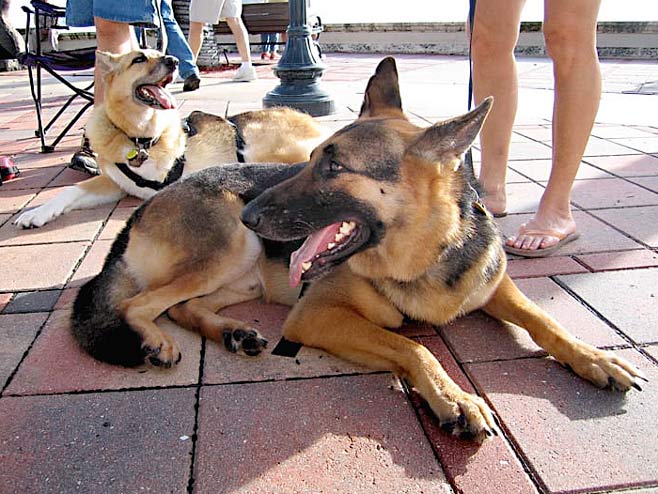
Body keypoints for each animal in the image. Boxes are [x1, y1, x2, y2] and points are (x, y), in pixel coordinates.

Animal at [12, 49, 326, 228]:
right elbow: (70, 191)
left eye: (161, 52)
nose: (173, 60)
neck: (138, 139)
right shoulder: (114, 182)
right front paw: (37, 213)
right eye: (138, 59)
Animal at [69, 58, 644, 440]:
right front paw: (454, 395)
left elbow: (546, 322)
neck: (423, 254)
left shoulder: (493, 285)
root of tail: (145, 205)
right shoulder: (316, 315)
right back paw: (156, 340)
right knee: (139, 304)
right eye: (311, 158)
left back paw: (233, 332)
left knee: (185, 306)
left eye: (333, 166)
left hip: (245, 272)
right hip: (231, 249)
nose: (251, 211)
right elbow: (413, 346)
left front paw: (594, 357)